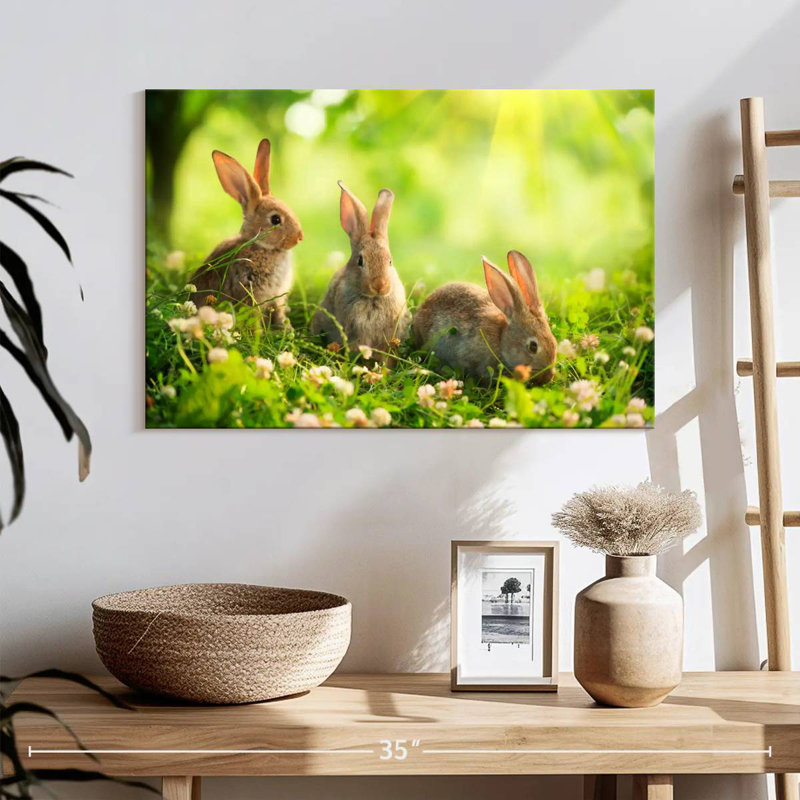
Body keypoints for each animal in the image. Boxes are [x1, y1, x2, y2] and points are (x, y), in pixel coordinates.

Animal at [190, 138, 303, 327]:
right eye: (275, 220)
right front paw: (259, 332)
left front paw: (285, 328)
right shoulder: (250, 292)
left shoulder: (277, 298)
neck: (260, 246)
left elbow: (278, 312)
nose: (299, 237)